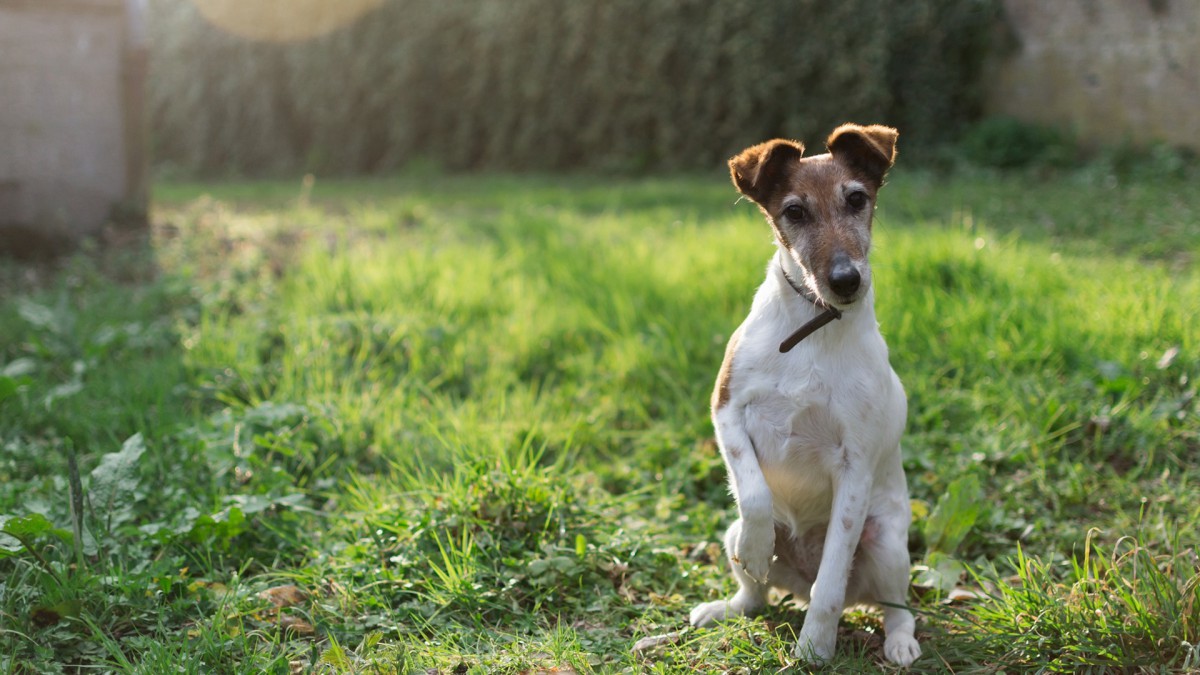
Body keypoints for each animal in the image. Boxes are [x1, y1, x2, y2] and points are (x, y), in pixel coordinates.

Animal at [691, 123, 921, 662]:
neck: (814, 328)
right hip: (731, 533)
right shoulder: (726, 410)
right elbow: (753, 493)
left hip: (886, 546)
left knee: (893, 605)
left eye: (856, 199)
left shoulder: (855, 467)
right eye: (794, 212)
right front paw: (758, 549)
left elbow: (831, 584)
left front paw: (816, 645)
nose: (846, 280)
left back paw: (900, 642)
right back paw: (728, 605)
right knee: (755, 594)